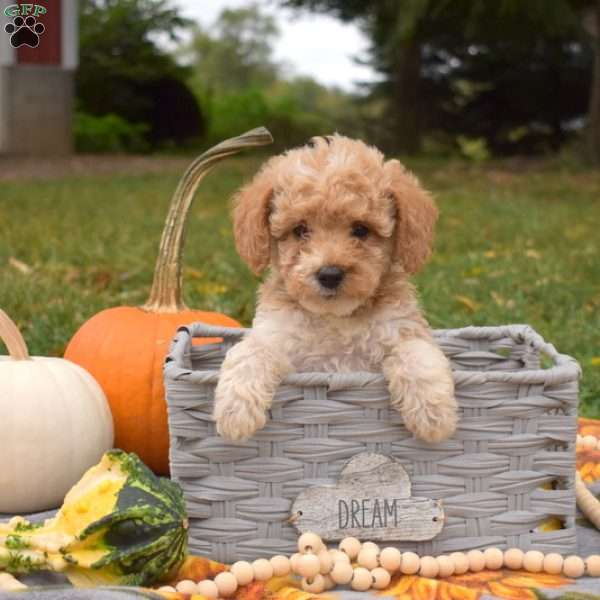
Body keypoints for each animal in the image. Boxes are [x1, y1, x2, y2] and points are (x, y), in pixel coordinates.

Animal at [213, 137, 458, 446]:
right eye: (300, 230)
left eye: (361, 229)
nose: (329, 274)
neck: (335, 318)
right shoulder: (278, 339)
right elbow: (249, 351)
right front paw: (234, 414)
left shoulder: (402, 329)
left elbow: (417, 354)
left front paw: (434, 417)